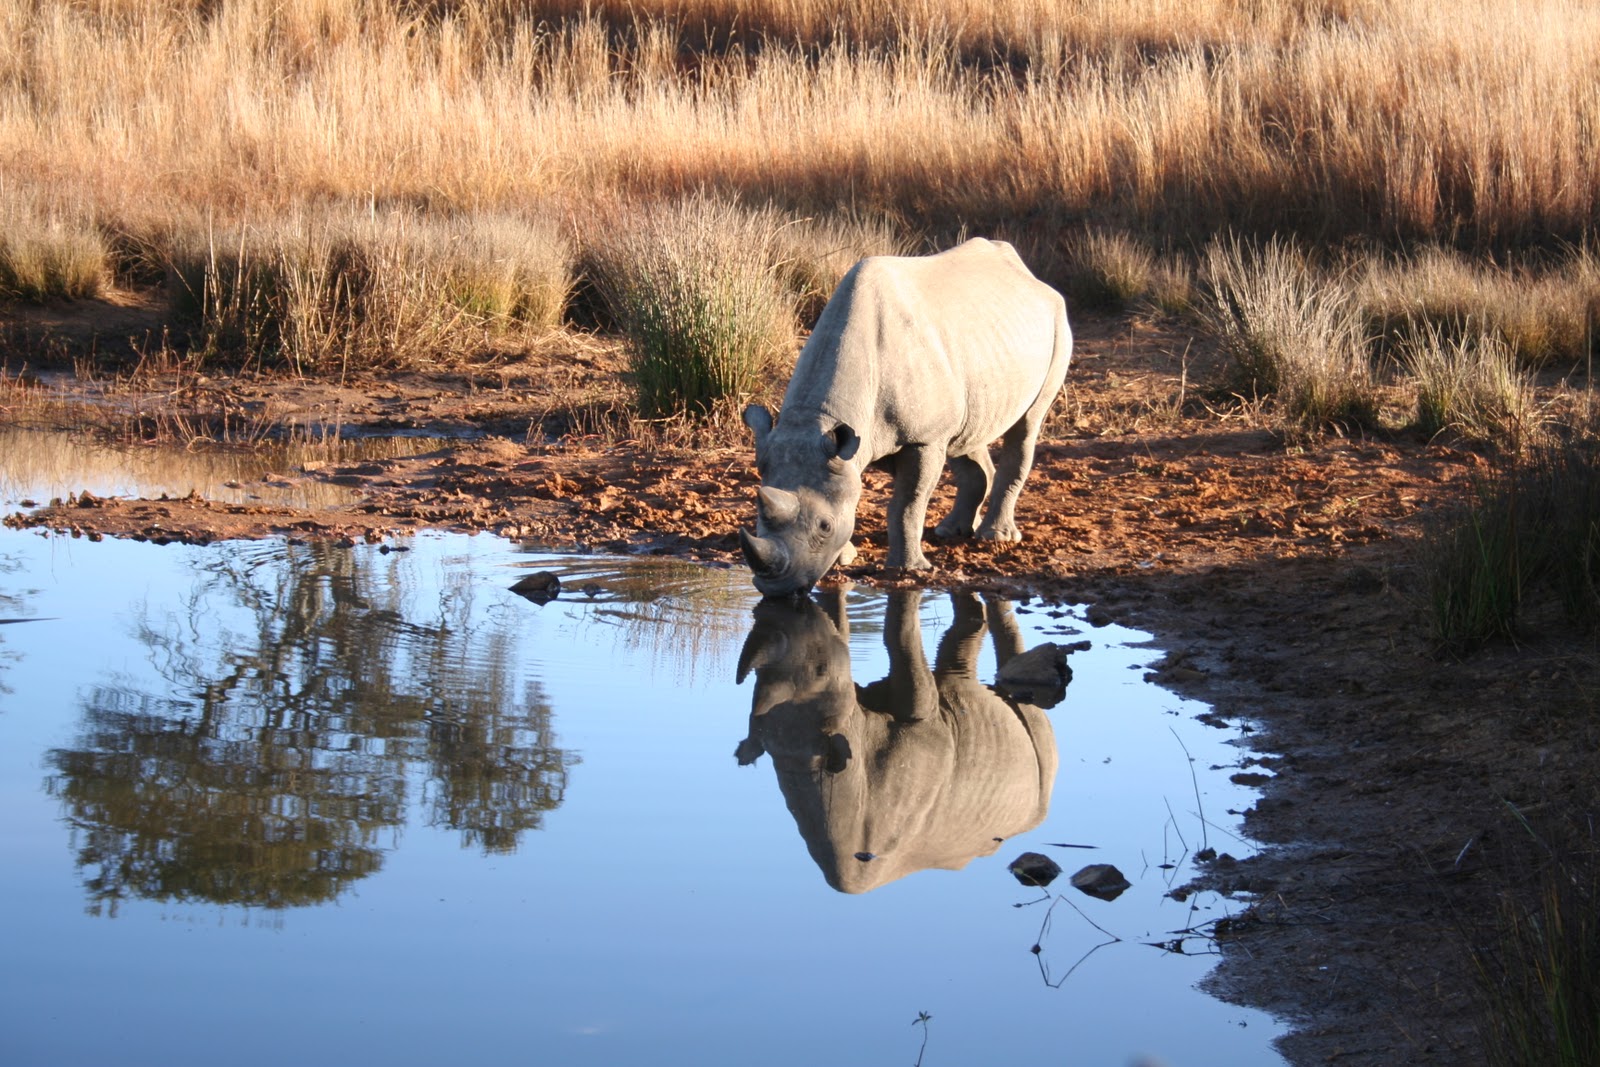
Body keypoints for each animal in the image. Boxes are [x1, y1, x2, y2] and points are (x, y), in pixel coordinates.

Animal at [741, 238, 1072, 597]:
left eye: (824, 527)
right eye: (758, 516)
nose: (776, 590)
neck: (818, 420)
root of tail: (1027, 274)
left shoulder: (923, 439)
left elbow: (908, 503)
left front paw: (908, 569)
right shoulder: (850, 449)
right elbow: (853, 491)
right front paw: (844, 558)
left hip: (1057, 322)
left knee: (1026, 426)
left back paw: (995, 538)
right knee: (966, 435)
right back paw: (951, 532)